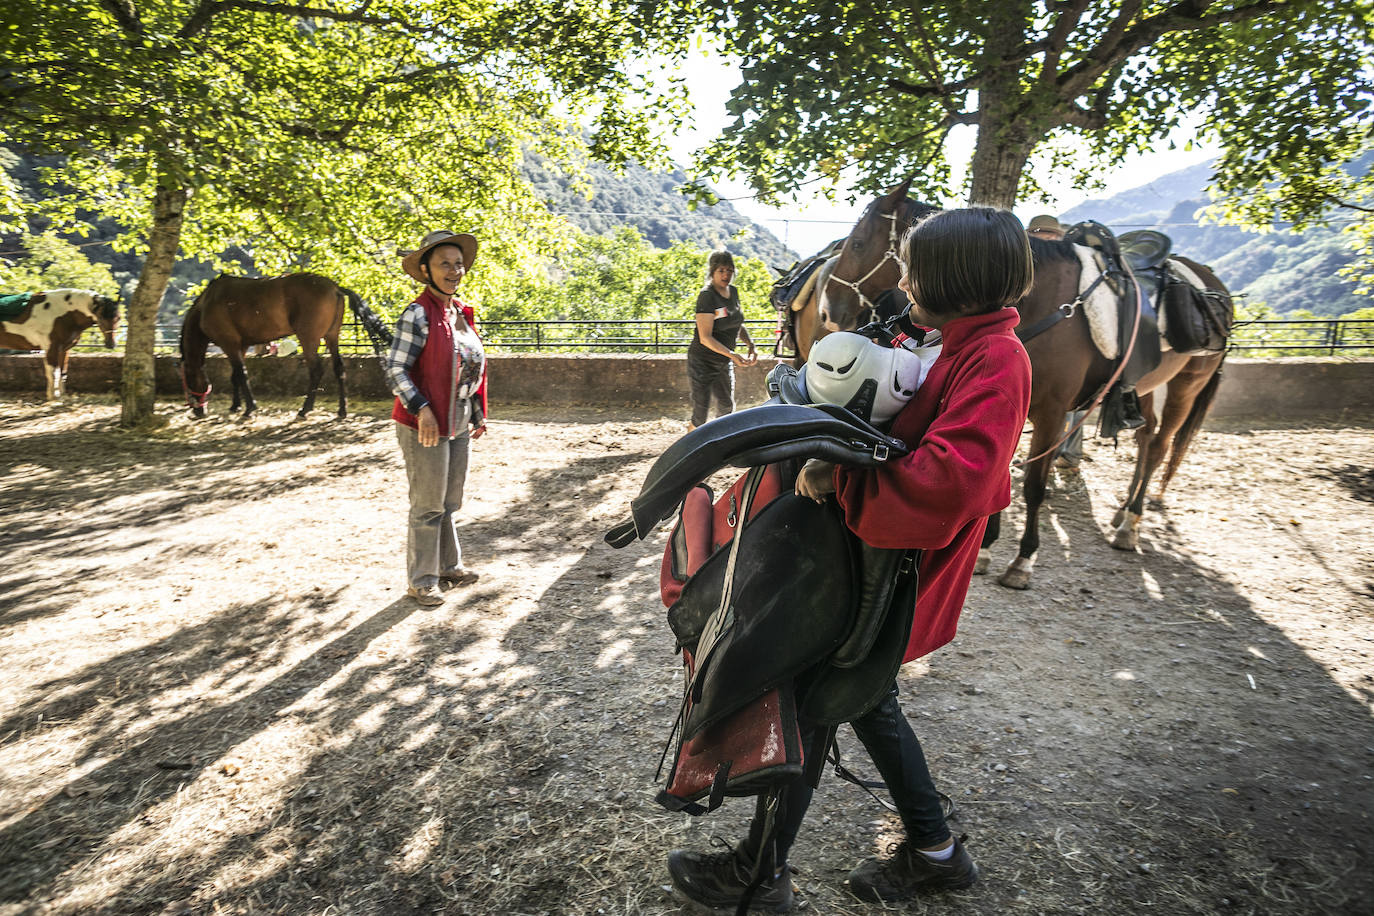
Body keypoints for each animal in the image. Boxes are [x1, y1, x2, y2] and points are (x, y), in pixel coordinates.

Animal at [802, 182, 1231, 590]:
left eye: (858, 243)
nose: (827, 310)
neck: (1043, 304)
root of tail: (1211, 283)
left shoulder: (1052, 413)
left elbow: (1033, 486)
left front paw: (1022, 560)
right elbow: (999, 480)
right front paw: (987, 550)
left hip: (1187, 384)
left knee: (1158, 445)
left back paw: (1130, 522)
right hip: (1145, 387)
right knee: (1147, 438)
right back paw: (1124, 515)